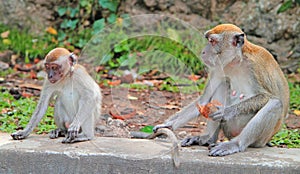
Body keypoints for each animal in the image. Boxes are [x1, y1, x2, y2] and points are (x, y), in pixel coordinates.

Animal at [154, 23, 290, 156]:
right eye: (209, 40)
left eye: (212, 41)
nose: (203, 51)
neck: (236, 62)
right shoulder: (218, 68)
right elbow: (204, 100)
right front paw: (168, 124)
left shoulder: (256, 66)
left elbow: (268, 96)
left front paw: (226, 112)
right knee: (223, 84)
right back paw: (207, 139)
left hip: (261, 138)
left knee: (275, 104)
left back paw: (235, 144)